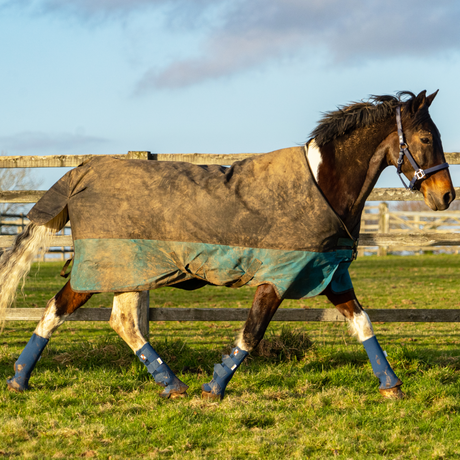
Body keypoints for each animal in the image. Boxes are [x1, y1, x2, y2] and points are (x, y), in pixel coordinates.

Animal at [0, 89, 452, 398]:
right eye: (427, 138)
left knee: (124, 322)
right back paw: (19, 379)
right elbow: (251, 334)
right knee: (58, 309)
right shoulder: (278, 278)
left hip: (132, 272)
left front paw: (392, 385)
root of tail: (83, 171)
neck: (323, 185)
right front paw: (214, 388)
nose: (446, 196)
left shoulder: (329, 273)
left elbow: (363, 322)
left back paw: (172, 385)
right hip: (105, 268)